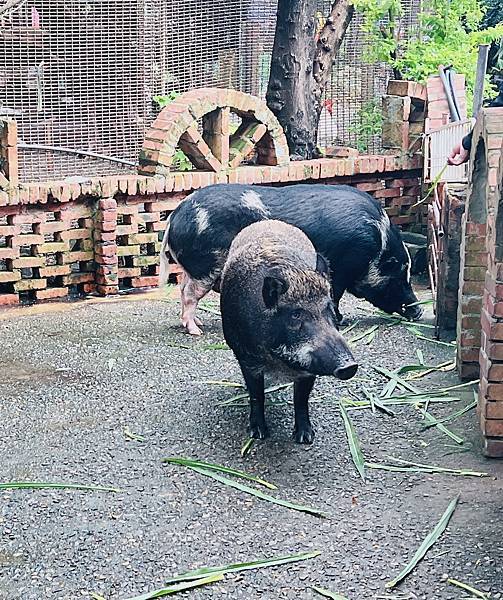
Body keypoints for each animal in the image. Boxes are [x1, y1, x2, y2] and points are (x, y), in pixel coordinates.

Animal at [160, 180, 422, 336]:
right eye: (400, 273)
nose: (418, 311)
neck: (377, 244)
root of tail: (175, 215)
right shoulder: (340, 267)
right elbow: (335, 294)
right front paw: (340, 320)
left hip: (194, 267)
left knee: (182, 288)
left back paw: (199, 324)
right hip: (206, 265)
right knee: (189, 294)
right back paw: (196, 331)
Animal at [221, 221, 358, 446]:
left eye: (329, 308)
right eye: (296, 314)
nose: (349, 366)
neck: (279, 362)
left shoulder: (308, 369)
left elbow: (301, 399)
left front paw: (305, 438)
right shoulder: (246, 356)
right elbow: (257, 394)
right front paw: (258, 434)